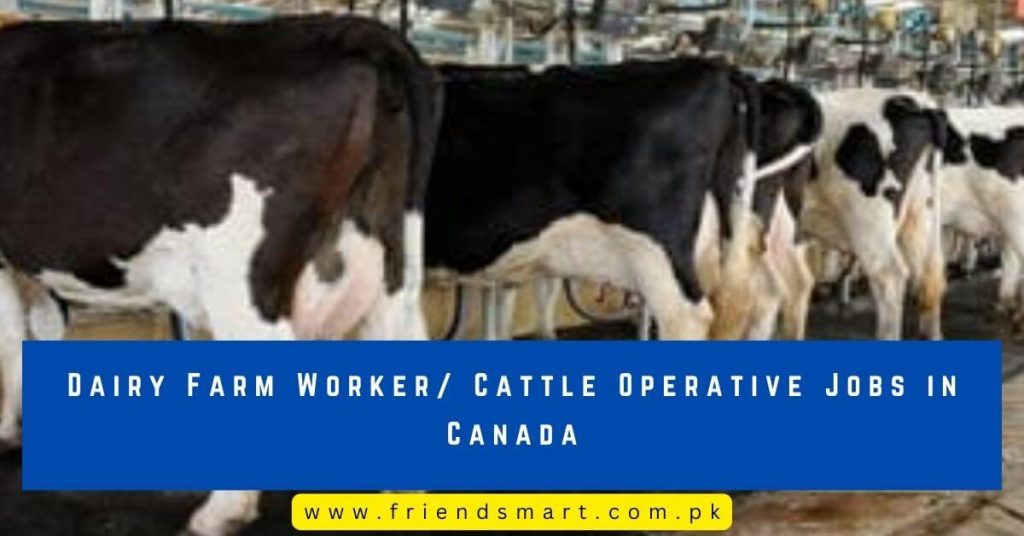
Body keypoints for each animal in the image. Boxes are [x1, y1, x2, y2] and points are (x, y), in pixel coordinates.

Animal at [0, 16, 442, 535]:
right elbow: (36, 329)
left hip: (240, 275)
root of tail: (351, 29)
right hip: (393, 259)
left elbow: (10, 334)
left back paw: (221, 511)